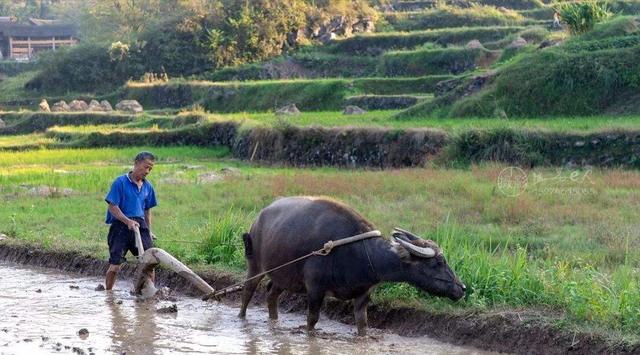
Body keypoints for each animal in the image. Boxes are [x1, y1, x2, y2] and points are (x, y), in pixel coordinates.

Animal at [240, 196, 464, 336]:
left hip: (283, 275)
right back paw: (241, 318)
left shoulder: (363, 294)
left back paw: (274, 321)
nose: (462, 288)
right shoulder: (315, 289)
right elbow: (312, 320)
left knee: (271, 294)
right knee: (248, 290)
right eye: (438, 262)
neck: (361, 255)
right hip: (255, 266)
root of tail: (258, 218)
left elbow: (362, 323)